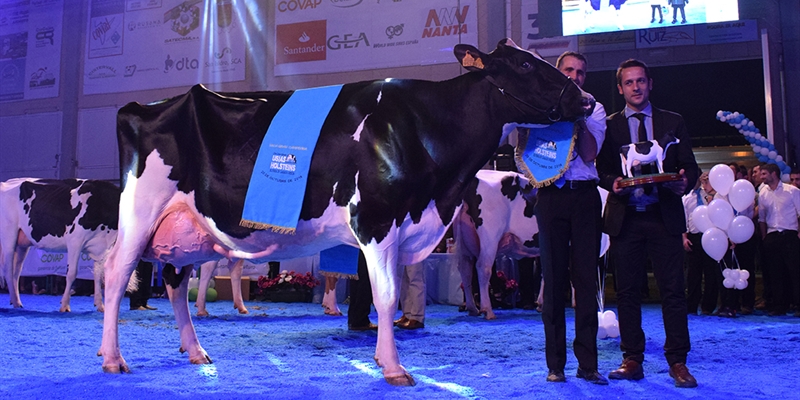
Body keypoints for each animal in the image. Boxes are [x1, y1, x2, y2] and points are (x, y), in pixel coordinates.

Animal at [0, 178, 119, 312]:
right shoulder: (75, 241)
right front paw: (65, 305)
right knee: (8, 269)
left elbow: (98, 275)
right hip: (9, 235)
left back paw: (16, 301)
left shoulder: (102, 247)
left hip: (21, 244)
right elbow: (71, 273)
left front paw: (100, 305)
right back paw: (16, 302)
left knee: (16, 271)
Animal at [100, 39, 592, 386]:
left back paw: (195, 351)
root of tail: (143, 106)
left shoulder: (402, 225)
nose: (586, 100)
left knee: (174, 283)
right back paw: (113, 358)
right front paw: (393, 368)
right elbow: (386, 296)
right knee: (117, 272)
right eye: (525, 65)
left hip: (184, 228)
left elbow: (389, 297)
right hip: (141, 213)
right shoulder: (375, 220)